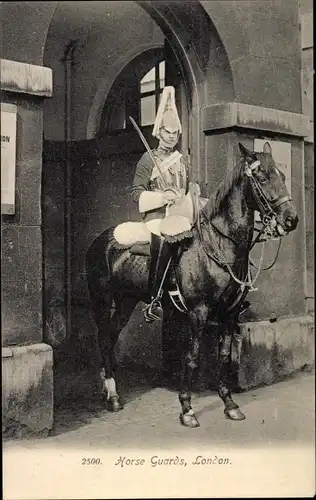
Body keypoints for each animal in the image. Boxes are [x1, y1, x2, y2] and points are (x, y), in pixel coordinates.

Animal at [85, 143, 298, 428]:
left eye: (282, 176)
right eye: (262, 177)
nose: (291, 219)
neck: (219, 244)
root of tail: (101, 239)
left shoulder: (229, 313)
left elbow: (224, 356)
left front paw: (229, 404)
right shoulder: (199, 312)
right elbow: (193, 357)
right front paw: (187, 408)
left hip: (125, 302)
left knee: (111, 336)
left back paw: (110, 391)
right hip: (102, 301)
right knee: (104, 338)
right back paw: (112, 395)